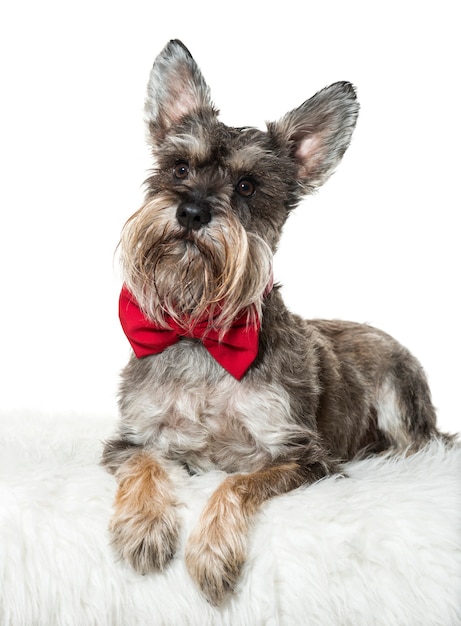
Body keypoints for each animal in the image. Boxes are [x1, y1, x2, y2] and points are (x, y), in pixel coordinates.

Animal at [101, 40, 446, 604]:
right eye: (179, 167)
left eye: (247, 185)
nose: (191, 211)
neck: (203, 331)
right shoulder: (133, 437)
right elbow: (147, 465)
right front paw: (145, 528)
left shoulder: (301, 456)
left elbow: (237, 482)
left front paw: (211, 553)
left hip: (402, 398)